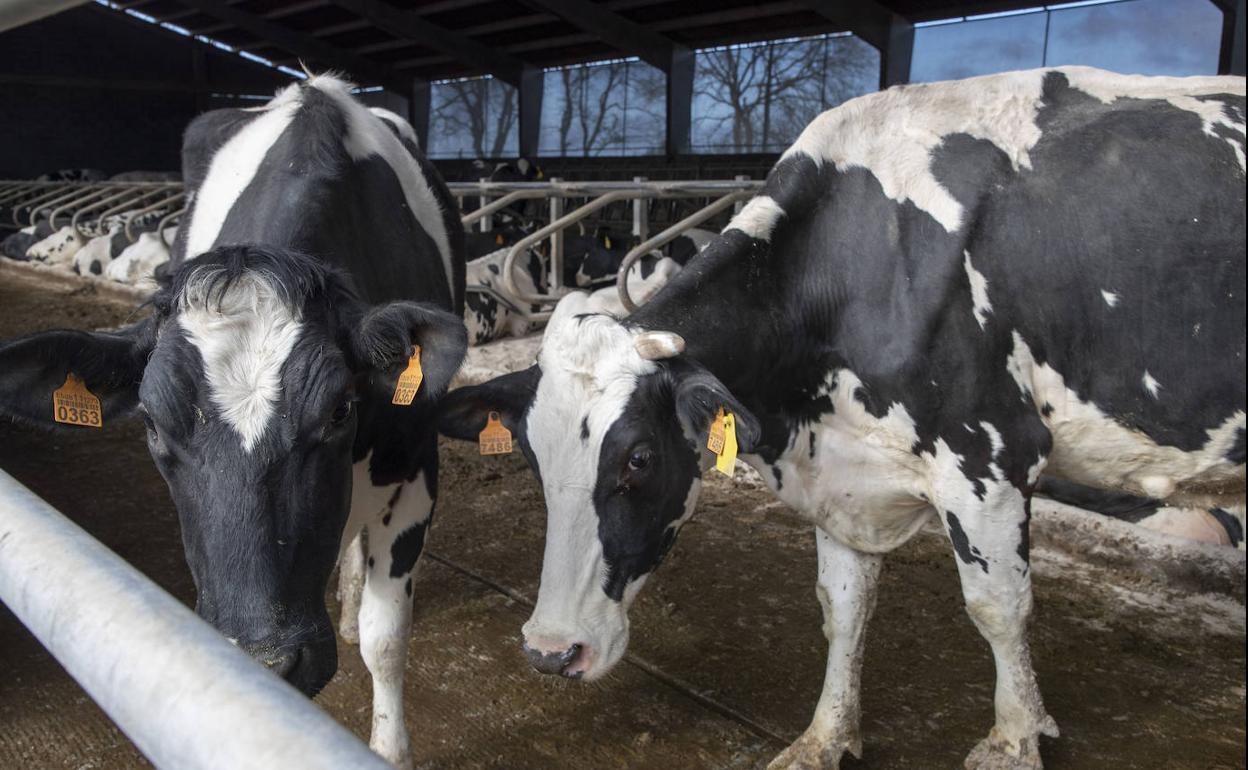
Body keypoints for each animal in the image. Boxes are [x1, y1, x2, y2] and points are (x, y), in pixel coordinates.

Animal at [0, 73, 466, 768]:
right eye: (152, 425)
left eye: (340, 409)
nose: (266, 662)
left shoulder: (415, 467)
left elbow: (386, 639)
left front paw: (389, 746)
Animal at [439, 67, 1248, 768]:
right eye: (532, 458)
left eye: (638, 457)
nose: (551, 651)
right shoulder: (841, 473)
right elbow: (843, 608)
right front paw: (825, 738)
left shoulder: (990, 461)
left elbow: (999, 607)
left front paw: (1015, 741)